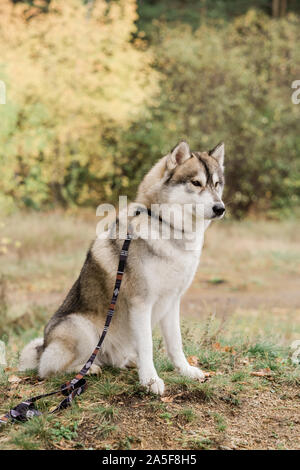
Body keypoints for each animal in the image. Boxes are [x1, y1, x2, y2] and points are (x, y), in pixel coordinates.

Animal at [19, 141, 225, 394]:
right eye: (196, 183)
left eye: (217, 184)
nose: (220, 208)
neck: (166, 226)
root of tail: (44, 347)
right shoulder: (141, 303)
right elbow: (147, 345)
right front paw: (150, 381)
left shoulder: (172, 301)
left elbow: (175, 343)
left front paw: (185, 370)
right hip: (80, 327)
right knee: (50, 369)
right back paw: (88, 369)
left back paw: (126, 362)